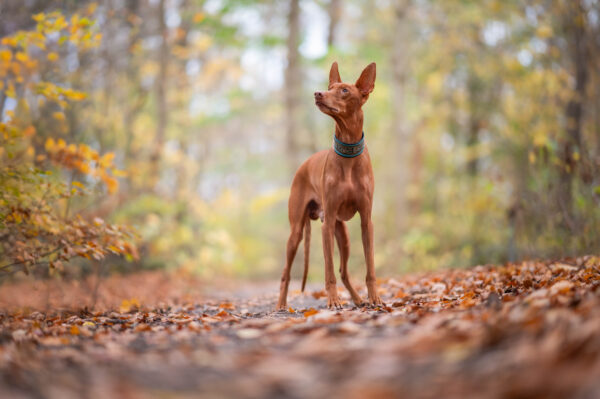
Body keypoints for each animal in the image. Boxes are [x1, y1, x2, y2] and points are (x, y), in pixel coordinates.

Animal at [278, 62, 382, 310]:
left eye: (344, 90)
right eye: (329, 87)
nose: (318, 93)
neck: (349, 154)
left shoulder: (366, 221)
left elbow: (370, 268)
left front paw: (374, 297)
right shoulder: (326, 226)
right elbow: (328, 271)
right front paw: (333, 300)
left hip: (343, 234)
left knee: (344, 270)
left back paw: (358, 300)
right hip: (297, 232)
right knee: (286, 273)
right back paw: (281, 305)